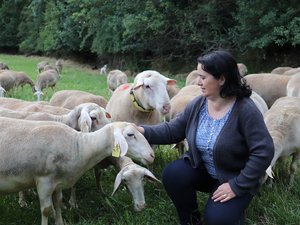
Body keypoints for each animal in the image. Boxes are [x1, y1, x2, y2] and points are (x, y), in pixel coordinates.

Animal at [0, 118, 155, 224]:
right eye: (130, 134)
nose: (152, 155)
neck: (79, 146)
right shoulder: (44, 181)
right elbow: (46, 210)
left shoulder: (57, 182)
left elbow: (58, 203)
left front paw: (60, 222)